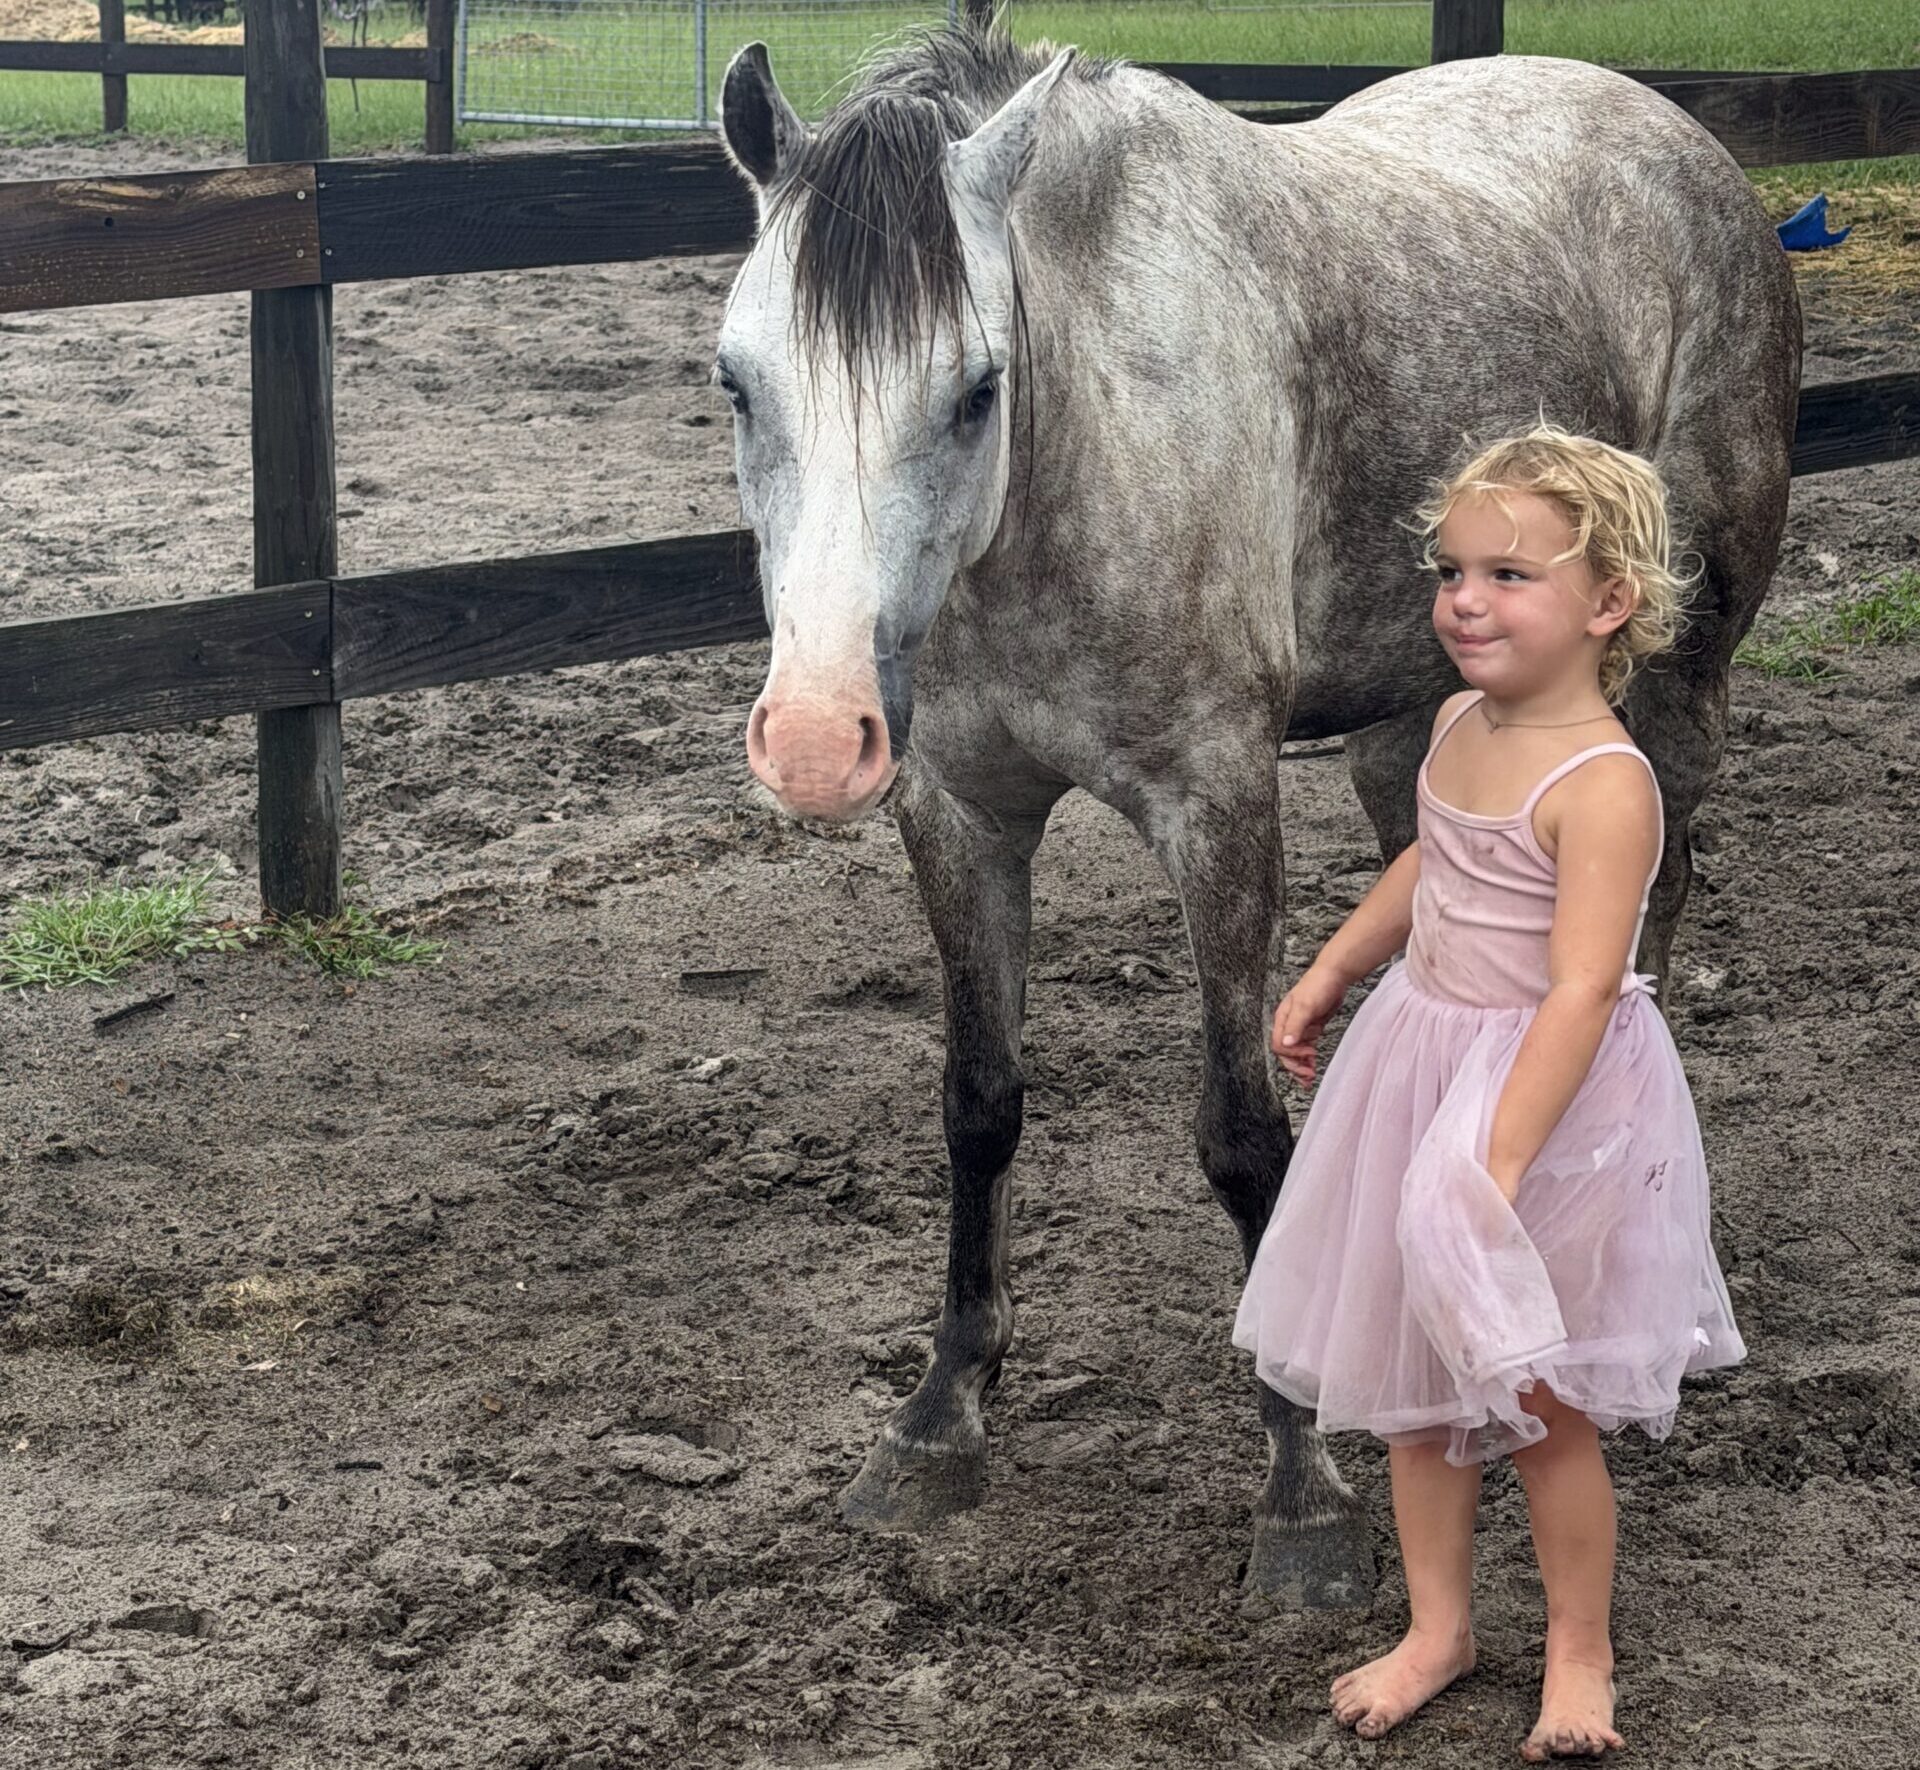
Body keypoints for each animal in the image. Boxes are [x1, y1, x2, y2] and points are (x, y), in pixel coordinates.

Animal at [711, 26, 1799, 1605]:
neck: (1087, 444)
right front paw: (938, 1420)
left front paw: (1303, 1492)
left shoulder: (1216, 803)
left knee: (1652, 898)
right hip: (1421, 721)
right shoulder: (959, 811)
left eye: (976, 389)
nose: (810, 740)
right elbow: (979, 1105)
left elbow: (1238, 1135)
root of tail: (1681, 137)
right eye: (737, 385)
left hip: (1681, 671)